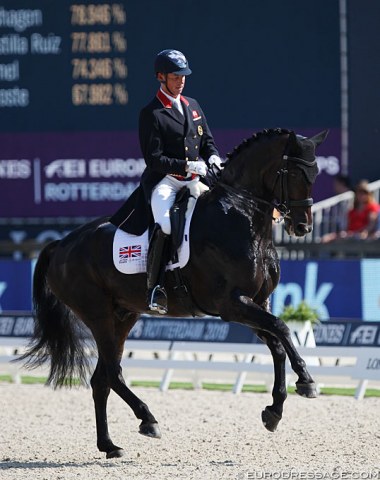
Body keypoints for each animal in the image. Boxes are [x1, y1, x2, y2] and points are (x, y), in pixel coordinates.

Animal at [20, 127, 328, 458]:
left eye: (315, 173)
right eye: (294, 172)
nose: (302, 227)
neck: (241, 218)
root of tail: (61, 244)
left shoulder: (256, 303)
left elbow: (277, 344)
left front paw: (274, 411)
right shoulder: (231, 304)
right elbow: (282, 328)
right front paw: (307, 382)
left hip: (123, 316)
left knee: (102, 379)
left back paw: (110, 445)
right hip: (97, 314)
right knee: (112, 373)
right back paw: (148, 420)